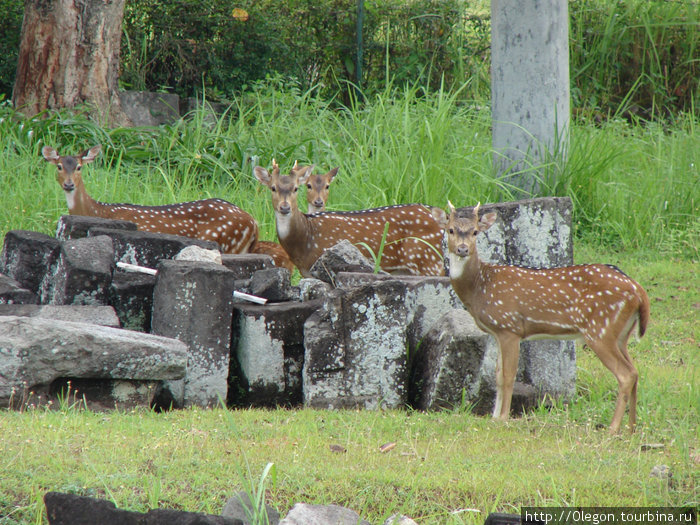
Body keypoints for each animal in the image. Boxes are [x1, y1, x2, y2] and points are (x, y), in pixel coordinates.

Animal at [41, 143, 292, 270]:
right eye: (59, 166)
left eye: (79, 167)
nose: (69, 184)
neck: (97, 210)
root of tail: (254, 222)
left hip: (228, 243)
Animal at [442, 202, 652, 434]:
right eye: (450, 229)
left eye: (475, 232)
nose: (462, 249)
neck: (480, 286)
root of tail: (639, 291)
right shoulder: (496, 332)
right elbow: (497, 375)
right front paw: (494, 417)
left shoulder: (510, 327)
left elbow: (508, 375)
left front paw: (504, 417)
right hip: (621, 334)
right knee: (635, 371)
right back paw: (631, 427)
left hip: (600, 330)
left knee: (626, 374)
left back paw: (613, 428)